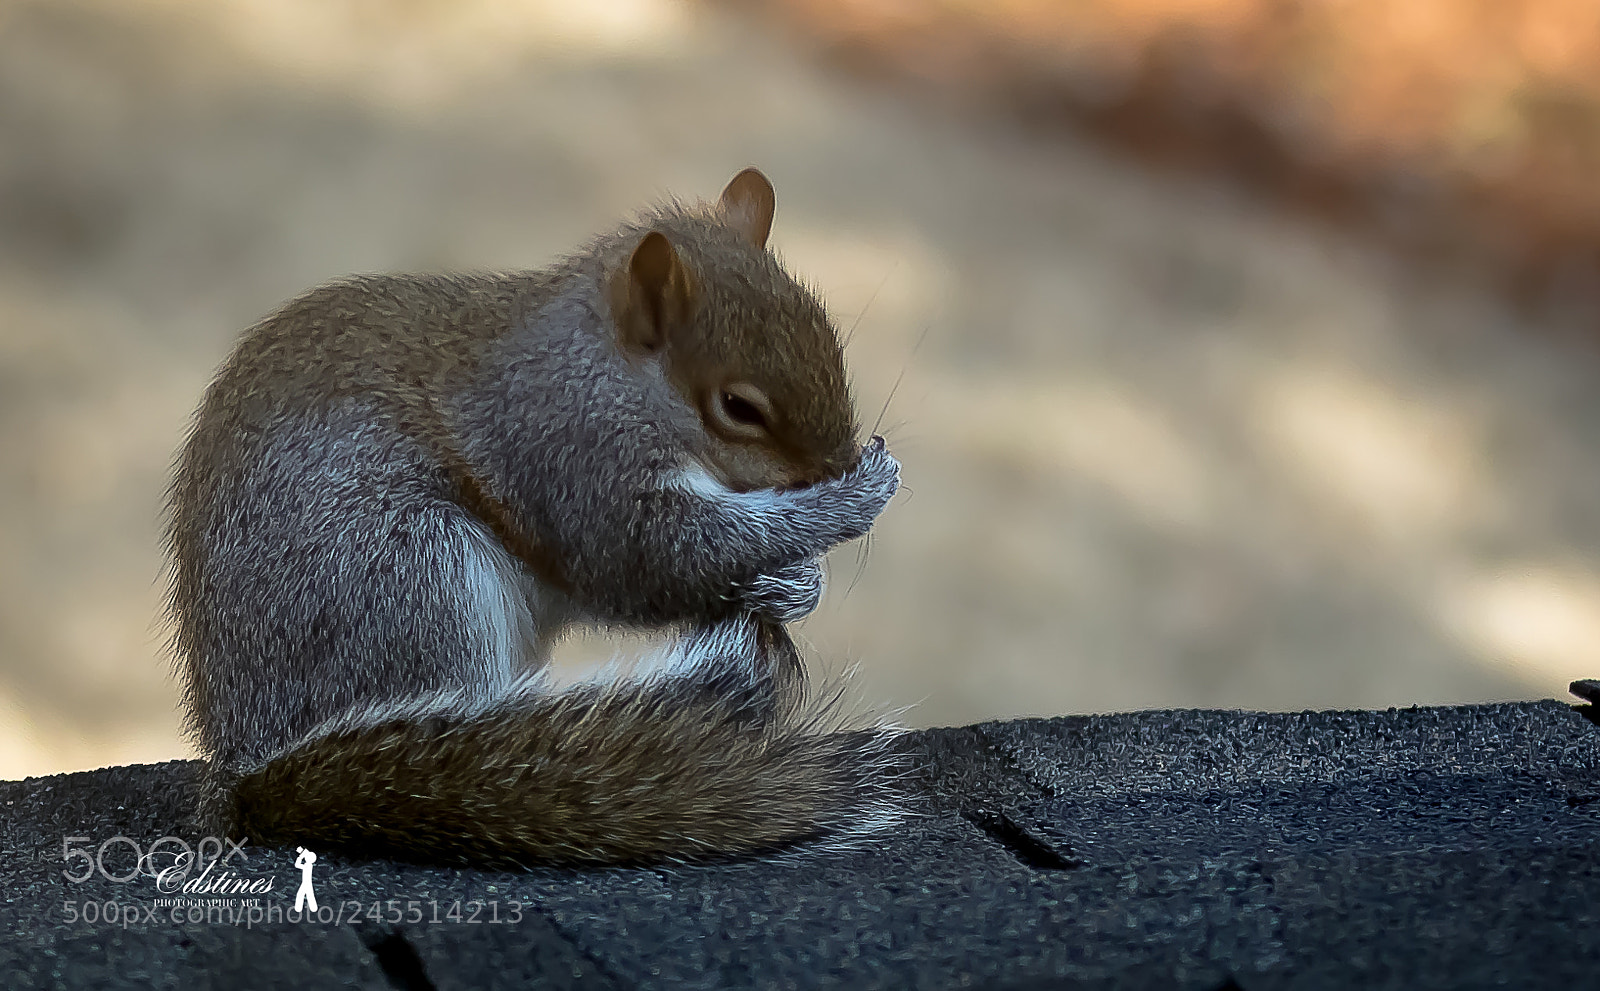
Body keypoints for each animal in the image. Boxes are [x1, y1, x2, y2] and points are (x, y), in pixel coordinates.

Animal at [166, 168, 904, 867]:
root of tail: (248, 761)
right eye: (738, 407)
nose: (838, 462)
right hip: (412, 571)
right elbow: (652, 559)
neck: (608, 372)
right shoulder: (569, 456)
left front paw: (796, 583)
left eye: (830, 339)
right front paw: (852, 497)